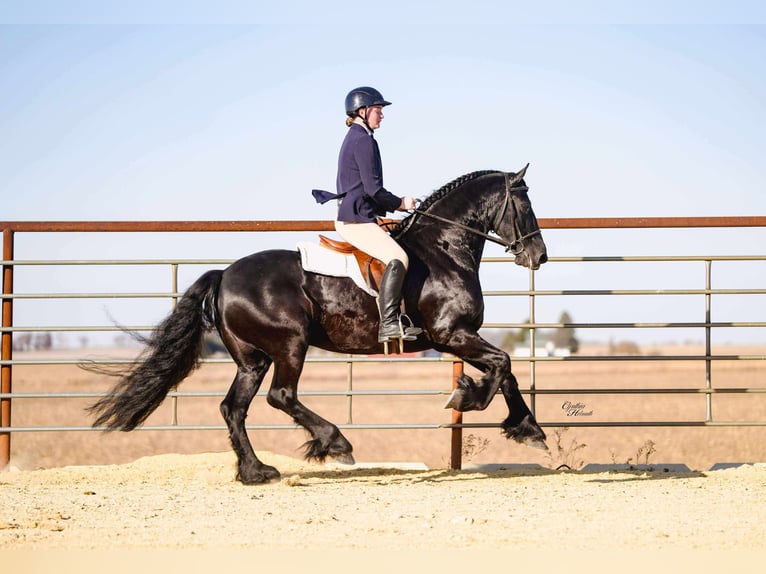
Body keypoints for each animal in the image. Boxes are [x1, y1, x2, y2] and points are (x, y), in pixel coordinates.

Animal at [89, 165, 549, 484]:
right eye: (525, 205)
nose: (539, 256)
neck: (442, 249)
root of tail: (224, 275)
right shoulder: (451, 334)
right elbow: (503, 364)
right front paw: (468, 398)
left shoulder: (456, 338)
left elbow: (505, 370)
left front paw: (528, 429)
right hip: (290, 345)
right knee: (280, 396)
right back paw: (335, 443)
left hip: (252, 359)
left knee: (234, 408)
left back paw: (256, 472)